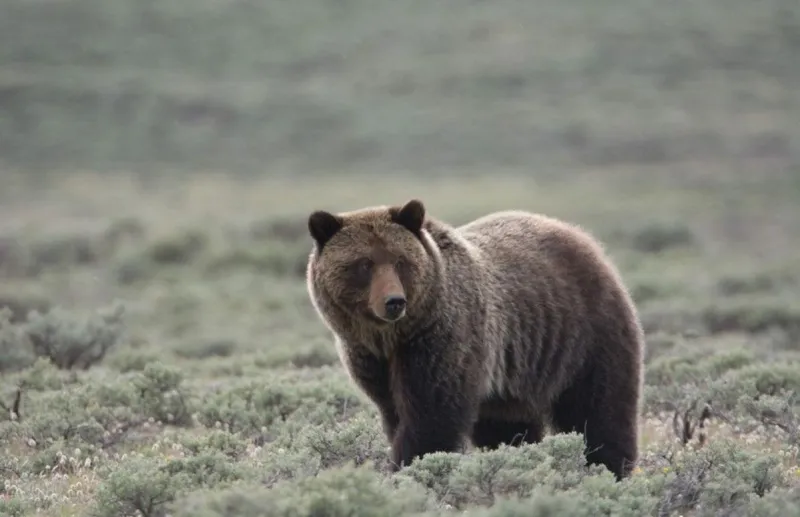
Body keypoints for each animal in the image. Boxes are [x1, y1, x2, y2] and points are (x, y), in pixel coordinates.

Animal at [305, 199, 644, 480]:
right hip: (513, 379)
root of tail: (585, 239)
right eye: (364, 263)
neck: (392, 337)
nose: (394, 301)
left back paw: (609, 468)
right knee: (508, 427)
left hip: (585, 334)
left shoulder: (439, 341)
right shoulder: (371, 358)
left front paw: (410, 467)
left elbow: (430, 415)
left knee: (599, 407)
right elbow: (395, 413)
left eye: (400, 261)